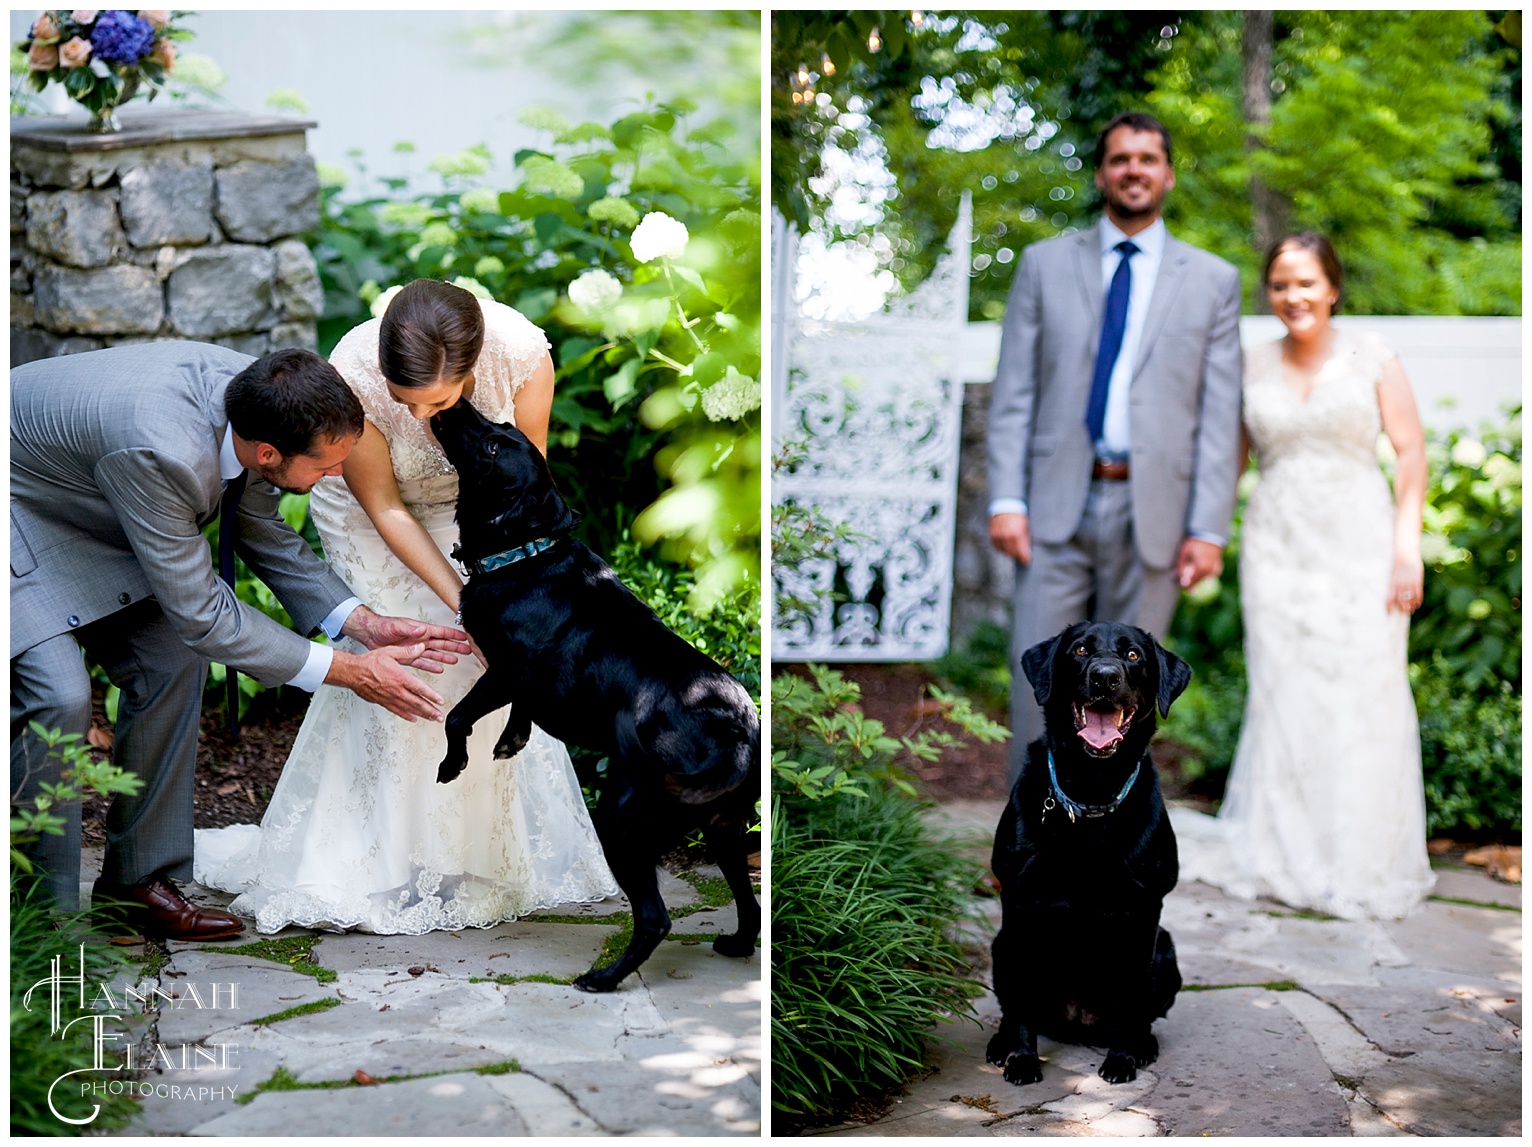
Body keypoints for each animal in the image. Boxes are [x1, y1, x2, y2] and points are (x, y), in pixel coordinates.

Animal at [425, 398, 759, 986]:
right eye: (499, 428)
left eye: (492, 445)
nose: (456, 401)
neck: (525, 553)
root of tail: (738, 731)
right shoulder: (519, 683)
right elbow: (514, 715)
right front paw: (512, 739)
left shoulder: (506, 671)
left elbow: (457, 717)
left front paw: (453, 764)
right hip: (724, 829)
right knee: (751, 905)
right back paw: (736, 945)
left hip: (623, 821)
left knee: (656, 918)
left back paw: (602, 980)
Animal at [986, 621, 1188, 1090]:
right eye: (1079, 650)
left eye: (1133, 656)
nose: (1105, 677)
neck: (1092, 793)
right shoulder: (1019, 902)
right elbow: (1021, 998)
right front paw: (1022, 1058)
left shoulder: (1145, 910)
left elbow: (1133, 996)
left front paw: (1124, 1058)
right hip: (1000, 943)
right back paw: (1001, 1043)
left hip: (1166, 951)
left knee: (1144, 1012)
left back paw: (1142, 1044)